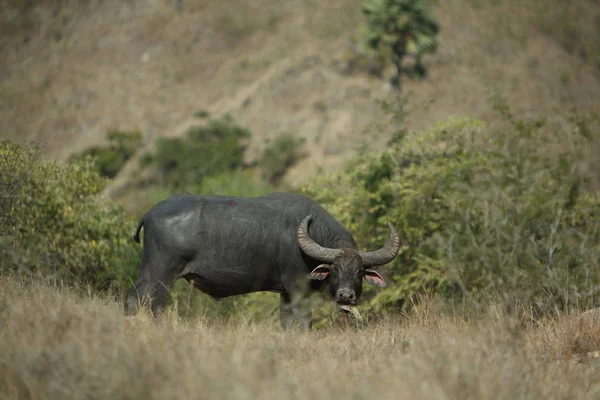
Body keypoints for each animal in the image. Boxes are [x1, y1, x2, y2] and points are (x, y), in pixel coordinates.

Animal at [125, 192, 398, 330]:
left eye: (360, 271)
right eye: (334, 268)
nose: (346, 296)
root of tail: (151, 212)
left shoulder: (286, 294)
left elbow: (287, 322)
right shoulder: (298, 289)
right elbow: (303, 321)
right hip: (160, 275)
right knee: (151, 304)